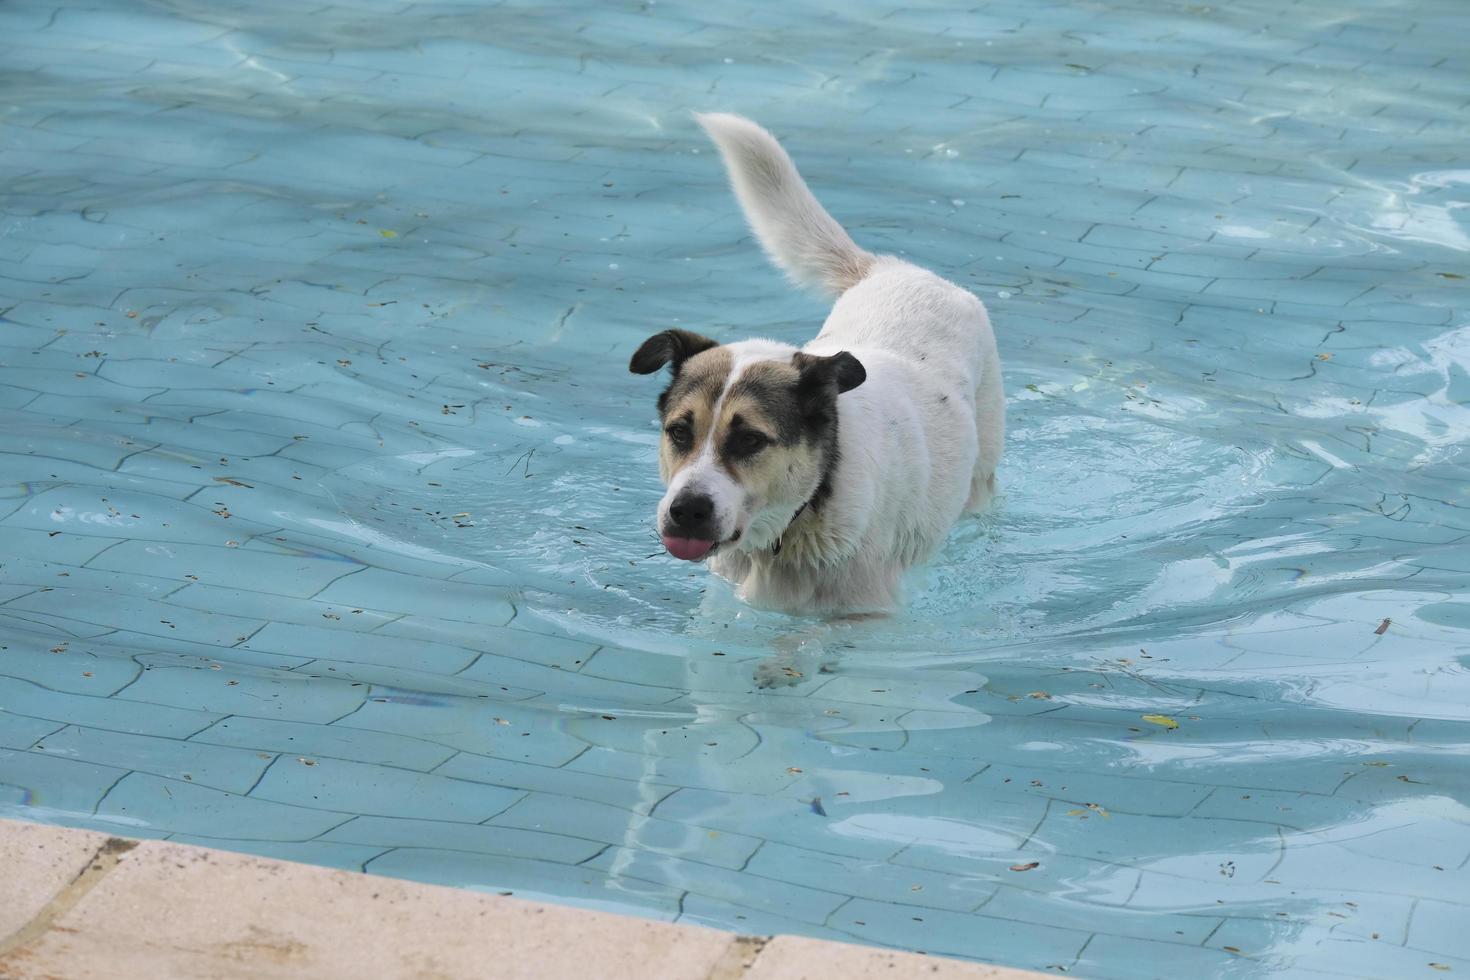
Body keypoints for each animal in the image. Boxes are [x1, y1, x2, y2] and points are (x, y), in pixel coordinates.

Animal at [626, 115, 1005, 617]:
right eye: (679, 432)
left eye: (750, 439)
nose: (686, 510)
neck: (798, 519)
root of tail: (891, 269)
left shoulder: (865, 614)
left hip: (981, 473)